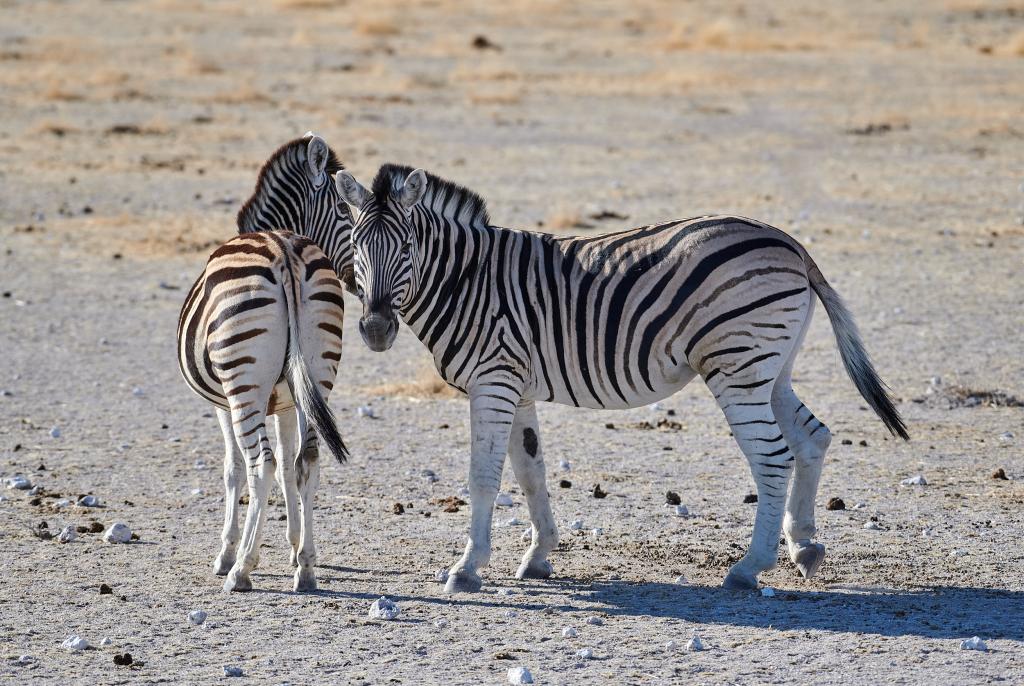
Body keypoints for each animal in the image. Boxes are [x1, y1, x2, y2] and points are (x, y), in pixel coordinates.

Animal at [174, 133, 354, 589]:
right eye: (346, 210)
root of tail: (283, 248)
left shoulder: (222, 404)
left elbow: (233, 470)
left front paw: (226, 552)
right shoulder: (289, 400)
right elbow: (293, 467)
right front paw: (294, 547)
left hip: (243, 386)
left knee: (261, 466)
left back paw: (241, 569)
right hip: (319, 374)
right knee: (307, 462)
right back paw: (306, 569)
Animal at [331, 163, 909, 593]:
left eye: (407, 248)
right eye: (355, 247)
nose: (376, 329)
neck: (465, 280)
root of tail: (790, 243)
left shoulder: (493, 381)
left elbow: (483, 476)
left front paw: (467, 568)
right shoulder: (516, 386)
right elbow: (531, 471)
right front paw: (538, 556)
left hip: (736, 367)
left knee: (772, 456)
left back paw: (749, 567)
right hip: (771, 368)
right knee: (813, 437)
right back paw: (805, 546)